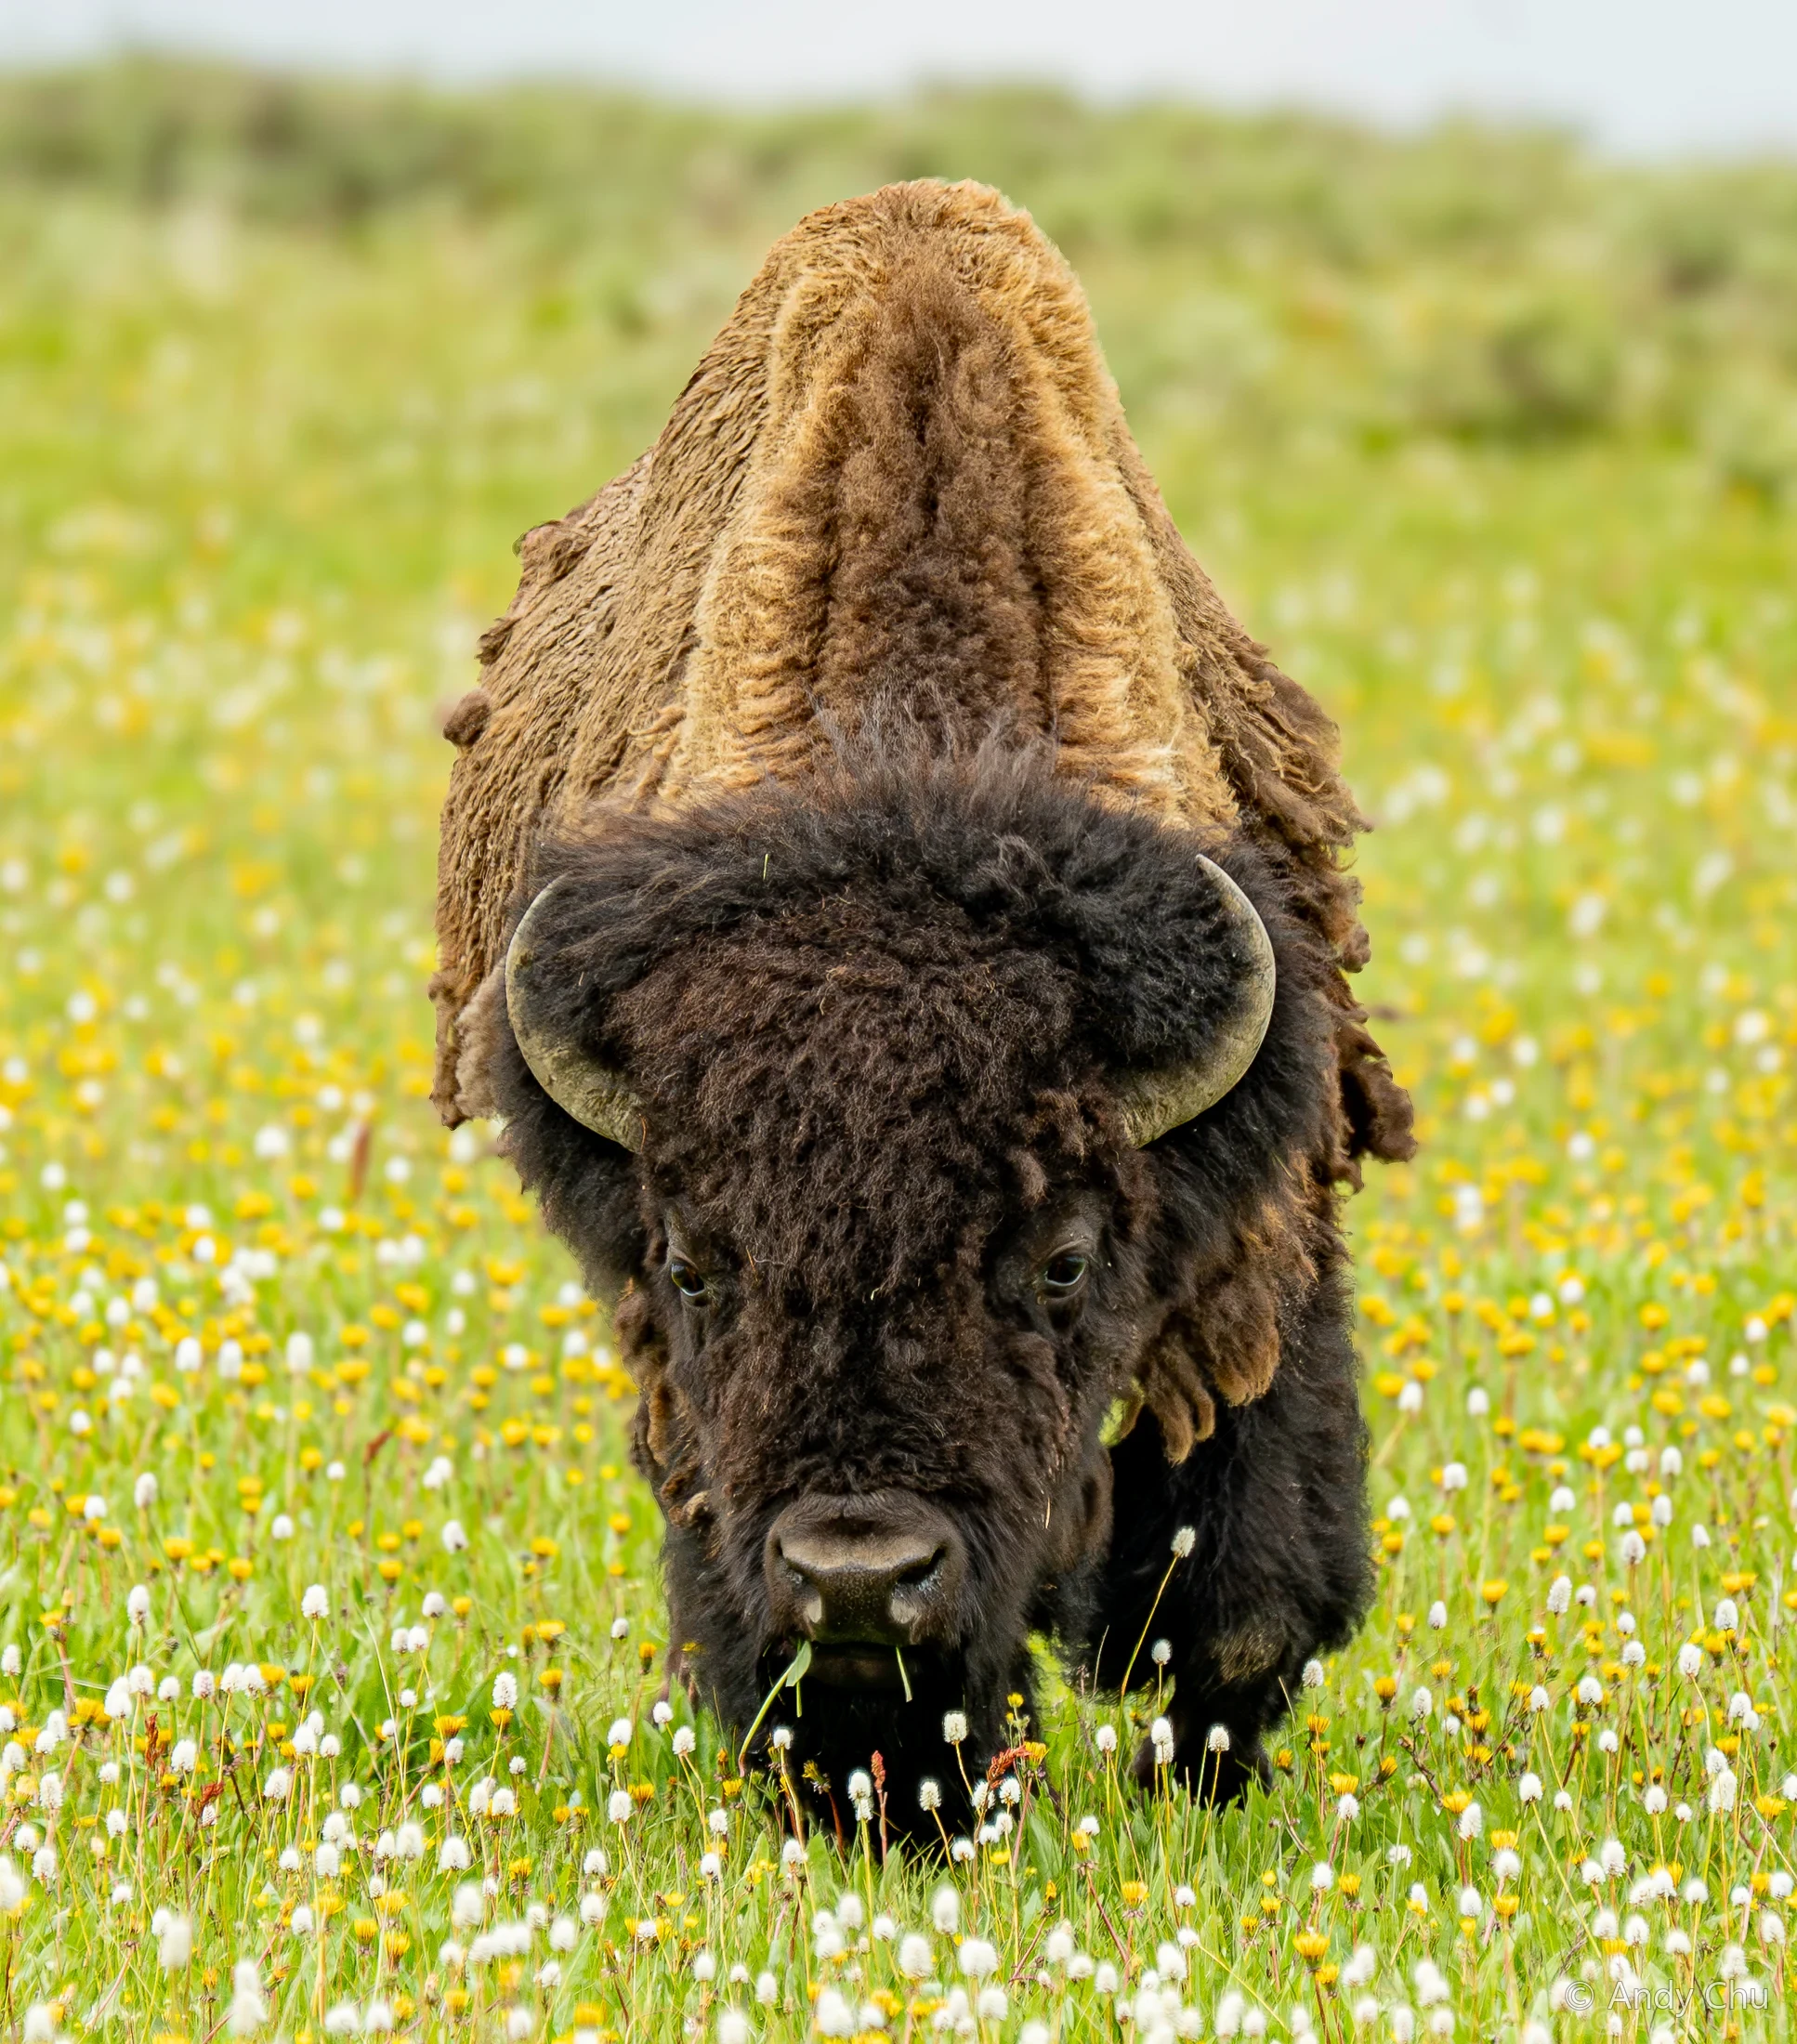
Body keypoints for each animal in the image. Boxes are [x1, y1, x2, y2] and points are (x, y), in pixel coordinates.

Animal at [431, 180, 1413, 1820]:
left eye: (1061, 1262)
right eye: (697, 1267)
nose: (855, 1578)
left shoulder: (1253, 1238)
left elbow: (1243, 1576)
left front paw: (1199, 1775)